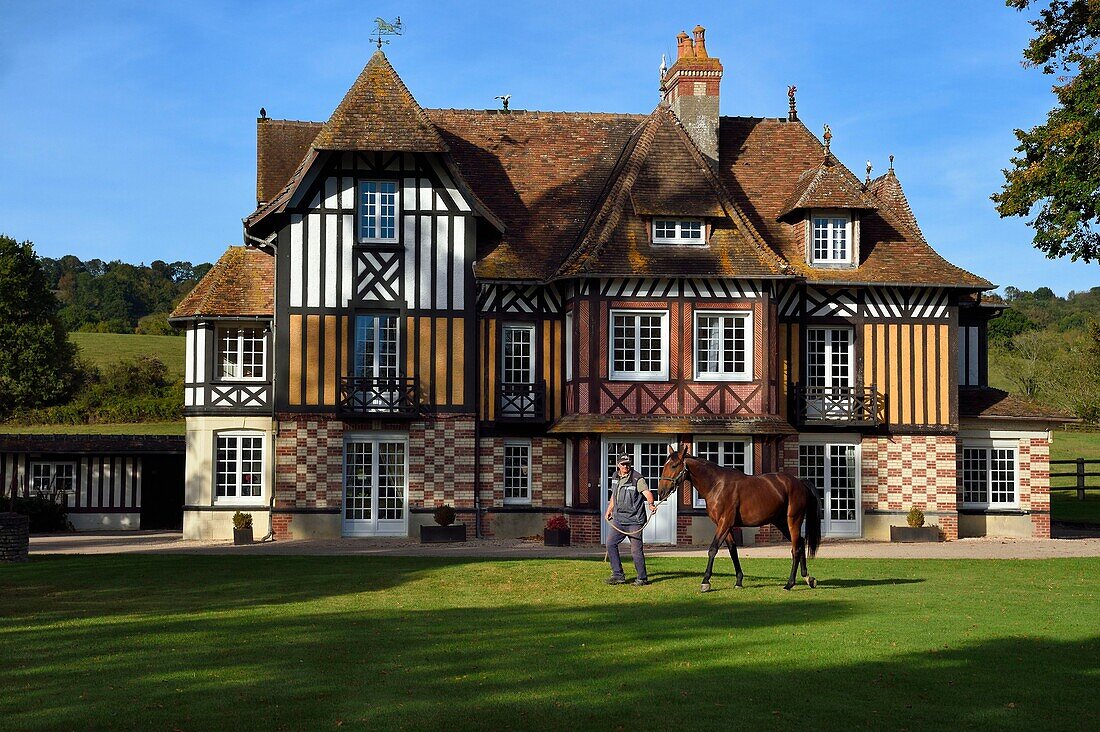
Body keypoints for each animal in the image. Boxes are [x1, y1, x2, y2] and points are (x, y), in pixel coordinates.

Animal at [655, 442, 822, 590]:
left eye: (674, 466)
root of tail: (799, 482)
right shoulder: (725, 525)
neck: (717, 484)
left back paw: (790, 584)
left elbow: (713, 549)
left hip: (793, 520)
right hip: (780, 522)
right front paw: (739, 581)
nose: (661, 492)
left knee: (795, 549)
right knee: (800, 543)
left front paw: (706, 581)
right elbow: (732, 550)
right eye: (664, 465)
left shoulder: (725, 523)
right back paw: (808, 578)